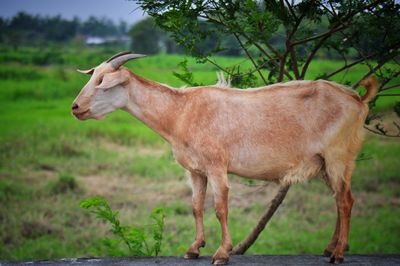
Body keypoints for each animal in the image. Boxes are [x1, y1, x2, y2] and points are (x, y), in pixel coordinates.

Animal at [72, 51, 378, 264]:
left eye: (102, 82)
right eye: (92, 76)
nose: (75, 107)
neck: (180, 112)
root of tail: (359, 100)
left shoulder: (217, 166)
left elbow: (220, 207)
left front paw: (221, 253)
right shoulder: (196, 171)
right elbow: (196, 206)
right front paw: (194, 249)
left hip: (338, 156)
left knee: (346, 201)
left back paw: (338, 254)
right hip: (326, 163)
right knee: (339, 199)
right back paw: (330, 248)